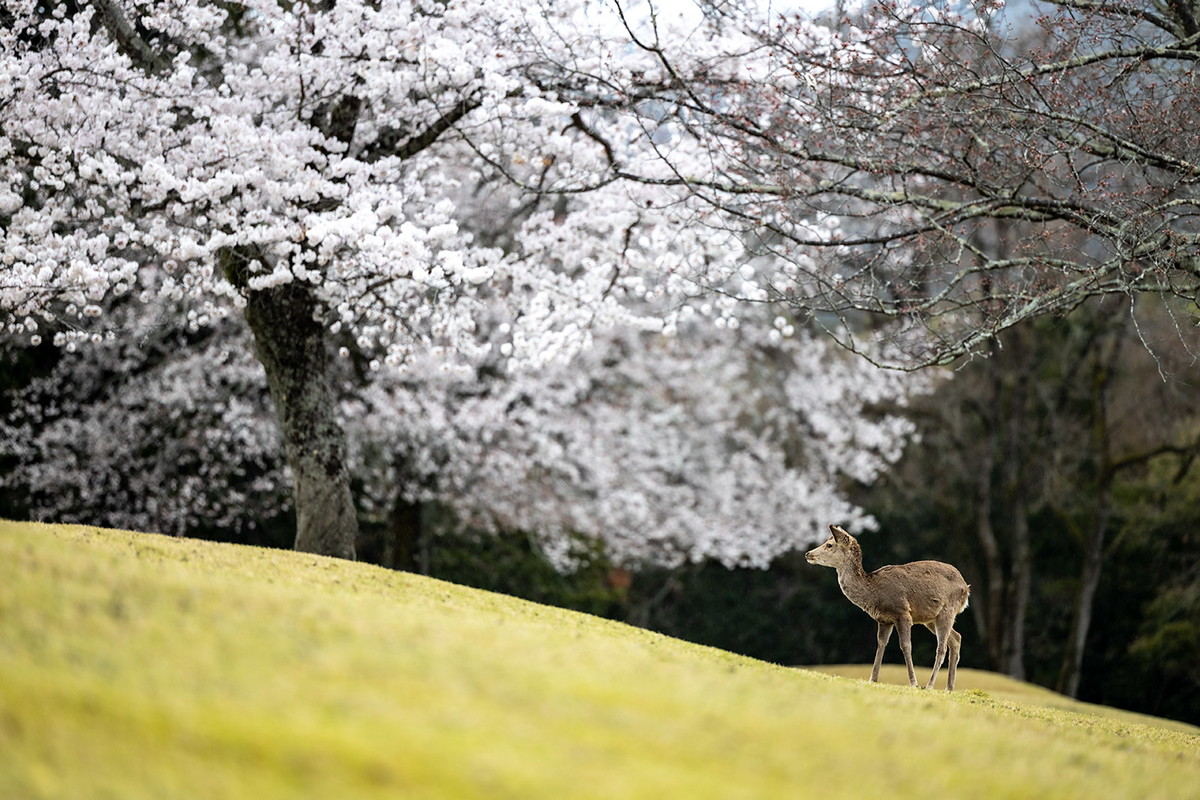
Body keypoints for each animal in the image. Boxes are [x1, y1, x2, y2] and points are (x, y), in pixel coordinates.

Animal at [806, 525, 964, 690]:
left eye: (829, 545)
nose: (807, 553)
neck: (875, 593)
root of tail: (966, 587)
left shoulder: (902, 612)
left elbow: (905, 645)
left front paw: (913, 683)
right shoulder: (884, 619)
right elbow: (881, 644)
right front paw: (872, 679)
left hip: (948, 609)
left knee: (942, 647)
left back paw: (929, 685)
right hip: (930, 618)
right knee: (956, 638)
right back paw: (949, 687)